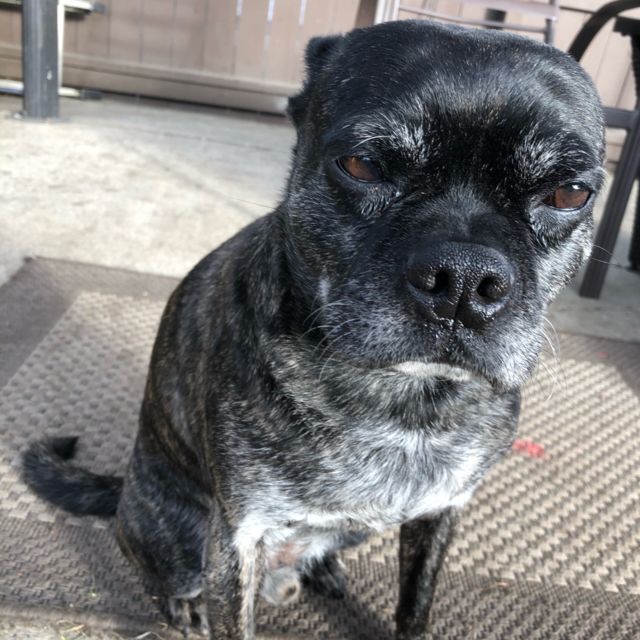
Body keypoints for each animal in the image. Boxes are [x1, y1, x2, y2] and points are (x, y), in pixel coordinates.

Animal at [23, 20, 604, 640]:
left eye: (571, 193)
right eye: (361, 164)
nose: (463, 279)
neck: (404, 400)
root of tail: (127, 485)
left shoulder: (439, 514)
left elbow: (415, 603)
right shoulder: (238, 541)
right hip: (177, 539)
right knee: (152, 563)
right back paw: (183, 605)